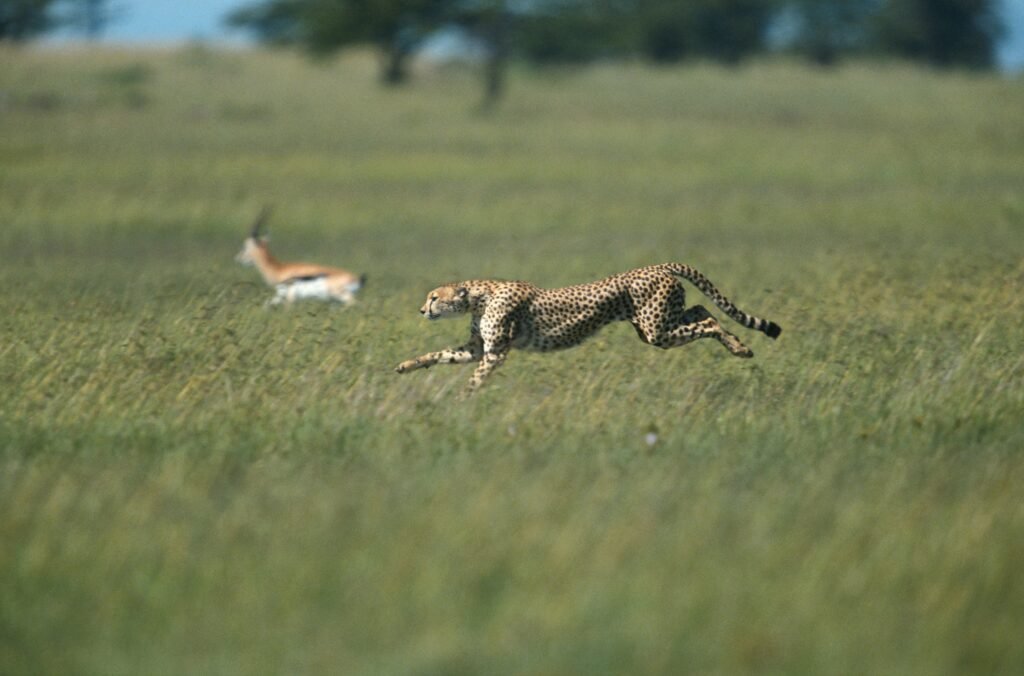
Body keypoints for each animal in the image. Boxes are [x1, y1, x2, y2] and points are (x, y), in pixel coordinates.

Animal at [395, 262, 782, 393]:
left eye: (434, 297)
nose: (422, 309)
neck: (479, 295)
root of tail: (659, 266)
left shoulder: (495, 352)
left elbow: (476, 378)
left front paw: (464, 401)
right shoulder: (478, 347)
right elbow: (439, 354)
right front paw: (406, 365)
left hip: (656, 331)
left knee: (710, 320)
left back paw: (741, 347)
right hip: (657, 325)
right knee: (702, 310)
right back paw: (738, 344)